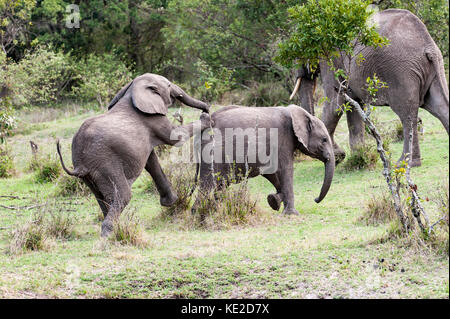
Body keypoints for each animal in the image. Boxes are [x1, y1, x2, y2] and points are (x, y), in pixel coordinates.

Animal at [56, 73, 211, 238]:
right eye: (169, 85)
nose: (206, 109)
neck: (132, 89)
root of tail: (80, 166)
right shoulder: (153, 119)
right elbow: (175, 138)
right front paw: (205, 119)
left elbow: (151, 161)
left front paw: (172, 202)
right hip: (105, 163)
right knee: (123, 194)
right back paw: (110, 234)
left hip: (89, 174)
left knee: (100, 197)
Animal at [192, 104, 336, 215]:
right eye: (324, 139)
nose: (315, 199)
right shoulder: (283, 140)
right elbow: (286, 170)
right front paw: (291, 214)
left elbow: (272, 173)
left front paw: (274, 200)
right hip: (212, 151)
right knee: (207, 184)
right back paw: (198, 214)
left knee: (219, 186)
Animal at [290, 9, 448, 168]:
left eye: (301, 50)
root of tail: (428, 44)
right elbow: (352, 106)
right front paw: (355, 155)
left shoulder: (331, 59)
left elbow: (335, 103)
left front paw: (338, 157)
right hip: (433, 67)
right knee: (439, 106)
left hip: (402, 72)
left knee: (407, 114)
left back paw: (403, 164)